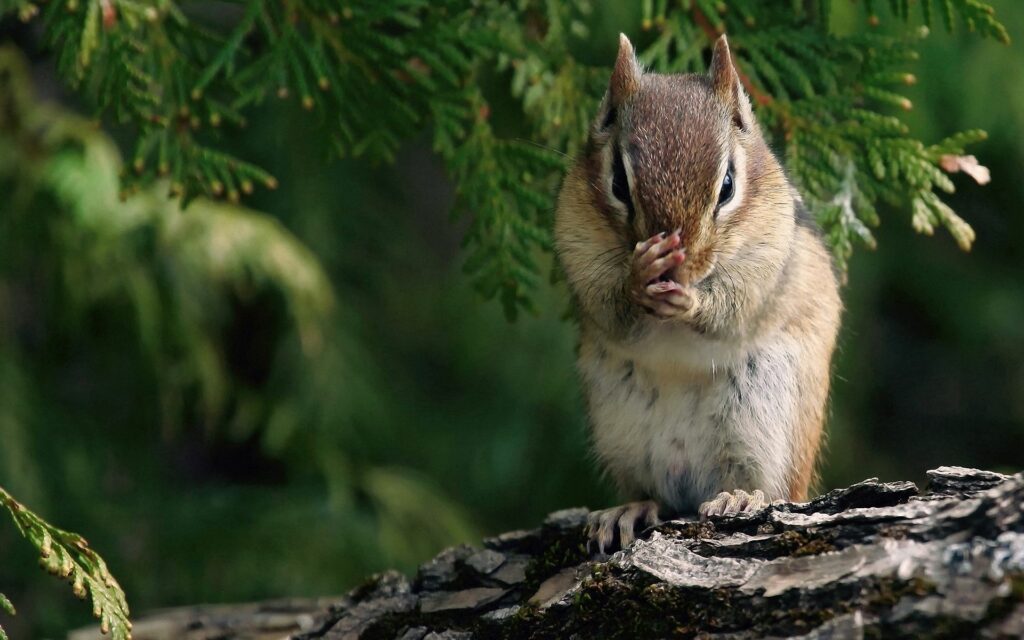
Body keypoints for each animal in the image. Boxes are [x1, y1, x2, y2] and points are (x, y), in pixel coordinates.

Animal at [555, 34, 842, 554]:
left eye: (727, 186)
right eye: (619, 183)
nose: (678, 266)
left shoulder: (768, 259)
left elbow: (735, 308)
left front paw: (691, 302)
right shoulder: (576, 244)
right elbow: (608, 305)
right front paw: (639, 277)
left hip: (771, 421)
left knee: (772, 489)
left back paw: (740, 497)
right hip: (620, 429)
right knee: (655, 492)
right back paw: (631, 508)